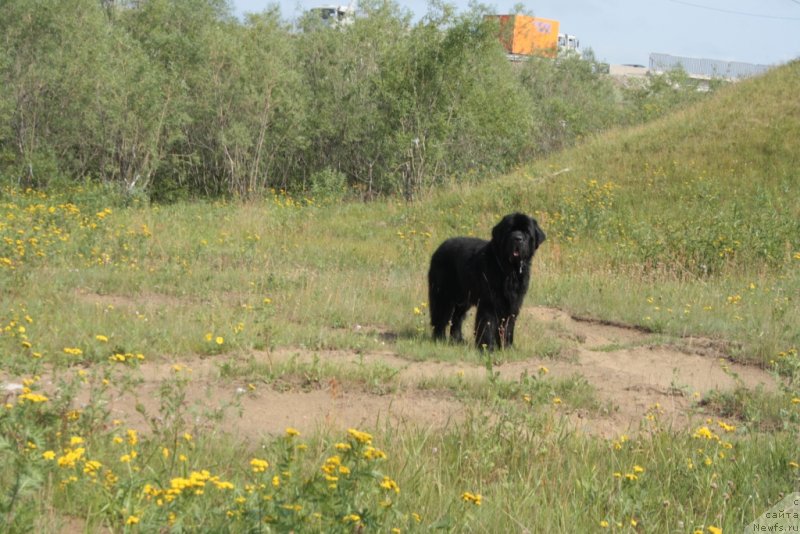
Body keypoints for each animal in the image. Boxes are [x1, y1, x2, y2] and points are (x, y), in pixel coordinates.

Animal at [428, 214, 548, 352]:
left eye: (526, 232)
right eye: (510, 230)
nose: (518, 238)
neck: (509, 269)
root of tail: (439, 248)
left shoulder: (512, 303)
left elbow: (508, 326)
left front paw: (507, 347)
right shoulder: (490, 302)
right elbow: (487, 325)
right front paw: (487, 348)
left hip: (464, 298)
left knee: (457, 318)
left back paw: (457, 340)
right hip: (443, 294)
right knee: (440, 316)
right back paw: (439, 338)